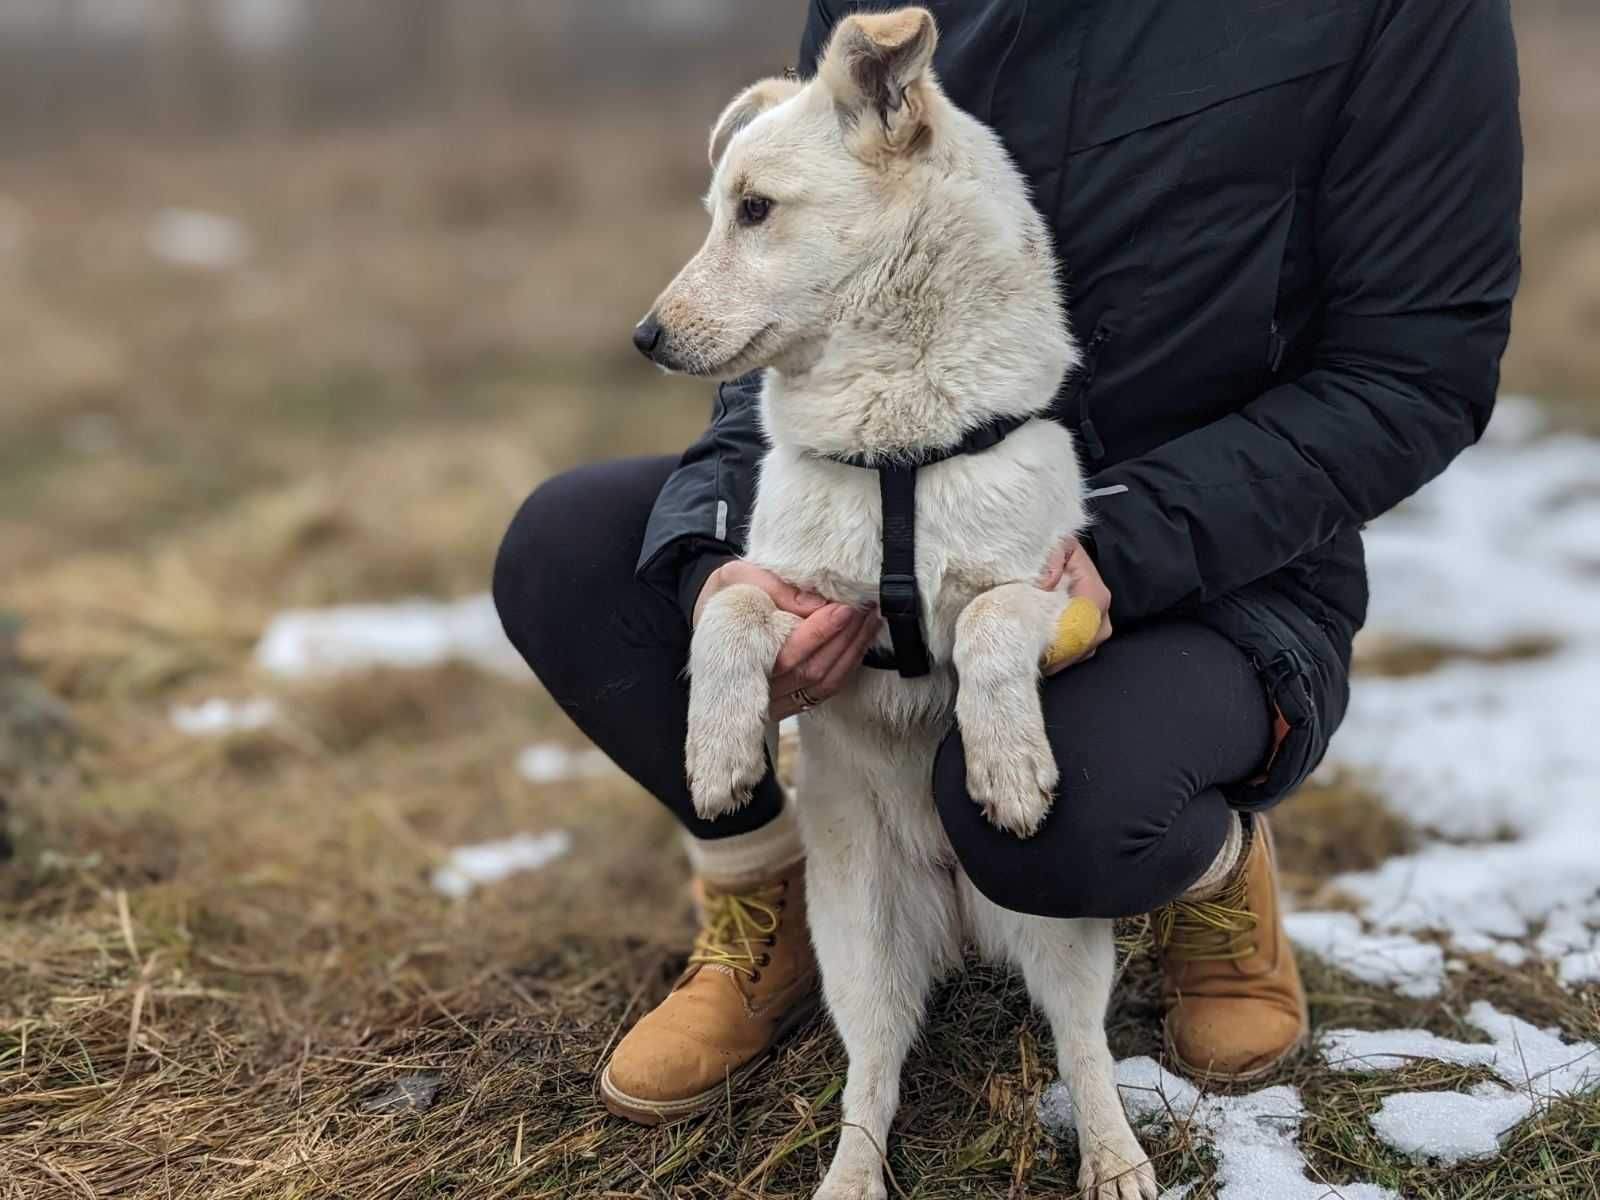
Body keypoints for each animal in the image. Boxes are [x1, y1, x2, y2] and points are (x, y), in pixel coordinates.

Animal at [643, 9, 1158, 1200]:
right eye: (718, 208)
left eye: (754, 208)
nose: (643, 337)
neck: (897, 453)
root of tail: (957, 908)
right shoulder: (793, 592)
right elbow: (724, 616)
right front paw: (717, 752)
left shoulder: (1051, 586)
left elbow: (983, 622)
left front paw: (1005, 762)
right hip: (860, 945)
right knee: (870, 1075)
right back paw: (848, 1175)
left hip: (1063, 930)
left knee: (1083, 1043)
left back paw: (1113, 1157)